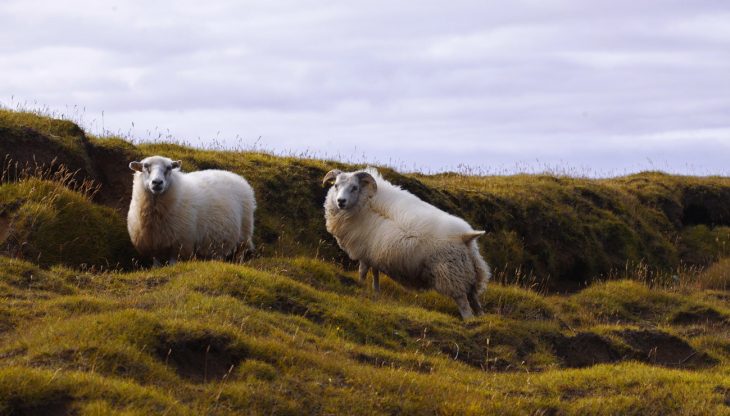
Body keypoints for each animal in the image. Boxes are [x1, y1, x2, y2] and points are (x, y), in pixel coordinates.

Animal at [127, 156, 256, 266]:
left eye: (169, 168)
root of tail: (236, 176)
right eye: (145, 166)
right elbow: (156, 265)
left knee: (240, 253)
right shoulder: (153, 246)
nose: (157, 182)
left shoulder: (179, 245)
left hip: (244, 235)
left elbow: (173, 264)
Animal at [322, 167, 490, 318]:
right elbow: (375, 273)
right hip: (471, 272)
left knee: (464, 305)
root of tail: (465, 236)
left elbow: (362, 271)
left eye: (354, 187)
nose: (340, 201)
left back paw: (468, 321)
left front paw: (360, 285)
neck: (365, 203)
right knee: (475, 300)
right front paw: (376, 290)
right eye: (336, 185)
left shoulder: (364, 251)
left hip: (451, 275)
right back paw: (480, 318)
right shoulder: (374, 252)